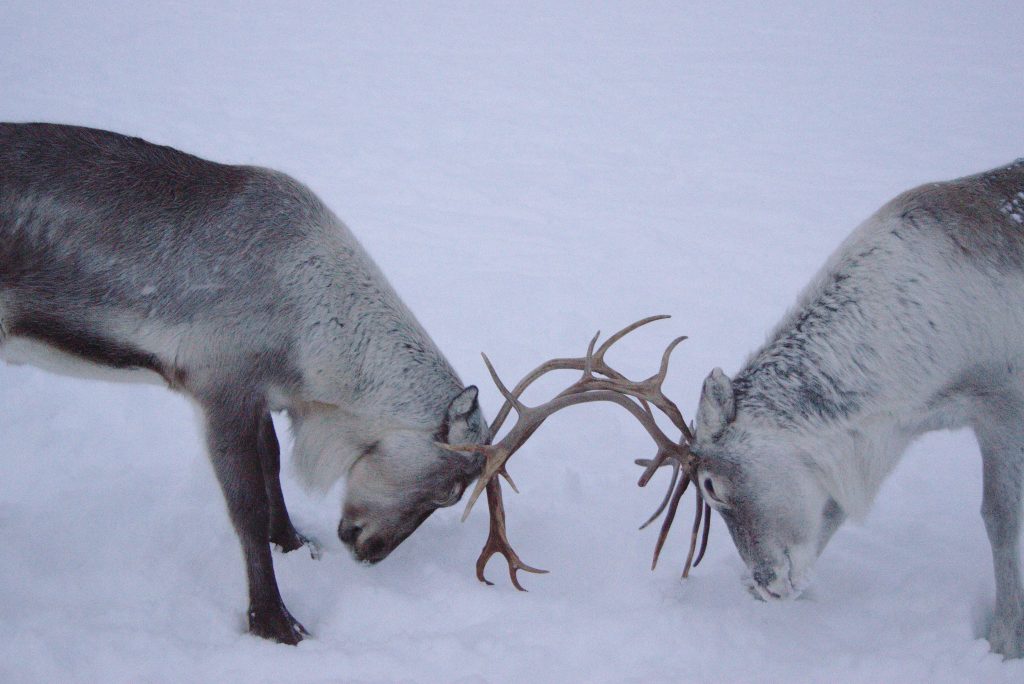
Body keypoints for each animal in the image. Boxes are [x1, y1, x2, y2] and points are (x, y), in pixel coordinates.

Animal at [0, 123, 488, 644]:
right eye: (448, 493)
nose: (370, 553)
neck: (313, 329)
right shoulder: (219, 391)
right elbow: (246, 511)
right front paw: (275, 622)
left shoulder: (260, 394)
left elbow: (271, 463)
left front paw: (292, 540)